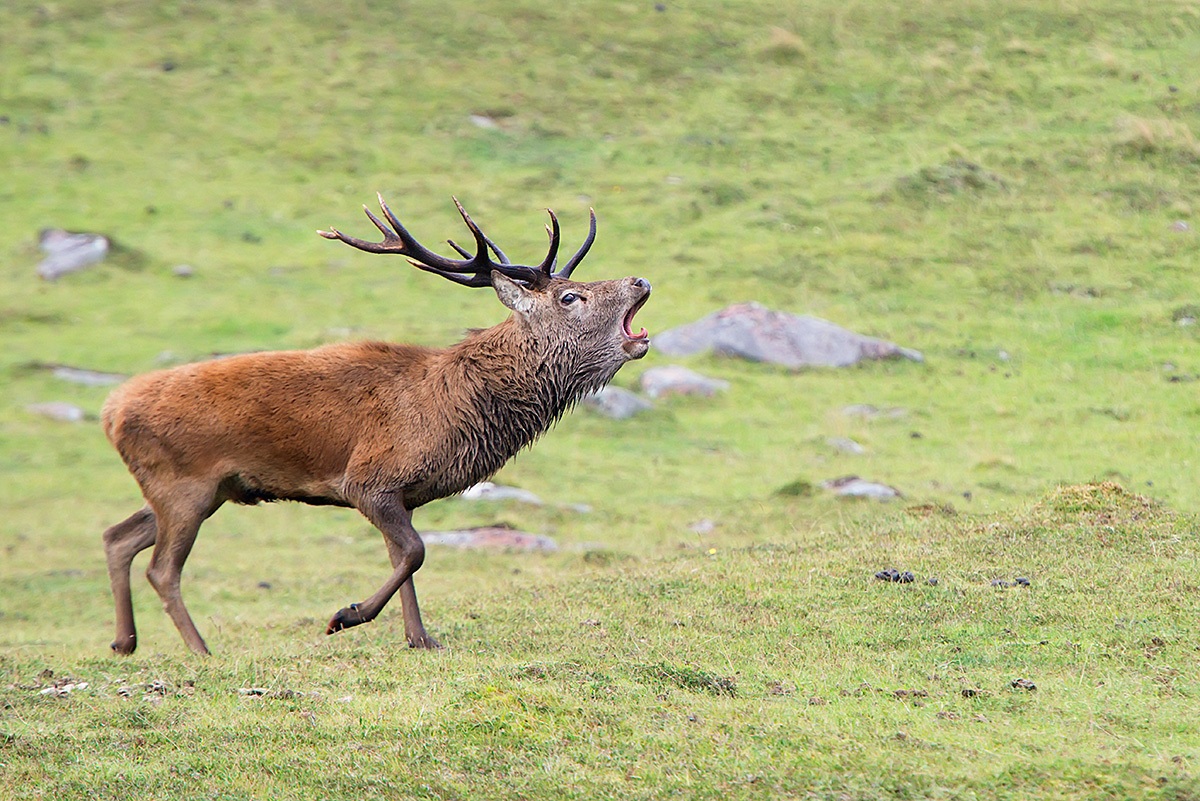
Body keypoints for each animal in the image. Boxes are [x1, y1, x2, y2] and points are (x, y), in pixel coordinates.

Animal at [101, 195, 651, 655]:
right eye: (570, 297)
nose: (641, 281)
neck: (455, 413)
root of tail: (110, 411)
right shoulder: (368, 480)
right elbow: (416, 552)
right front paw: (345, 616)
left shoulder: (401, 494)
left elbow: (401, 558)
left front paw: (420, 639)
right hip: (183, 485)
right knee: (162, 570)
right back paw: (201, 652)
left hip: (195, 489)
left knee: (118, 535)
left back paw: (125, 642)